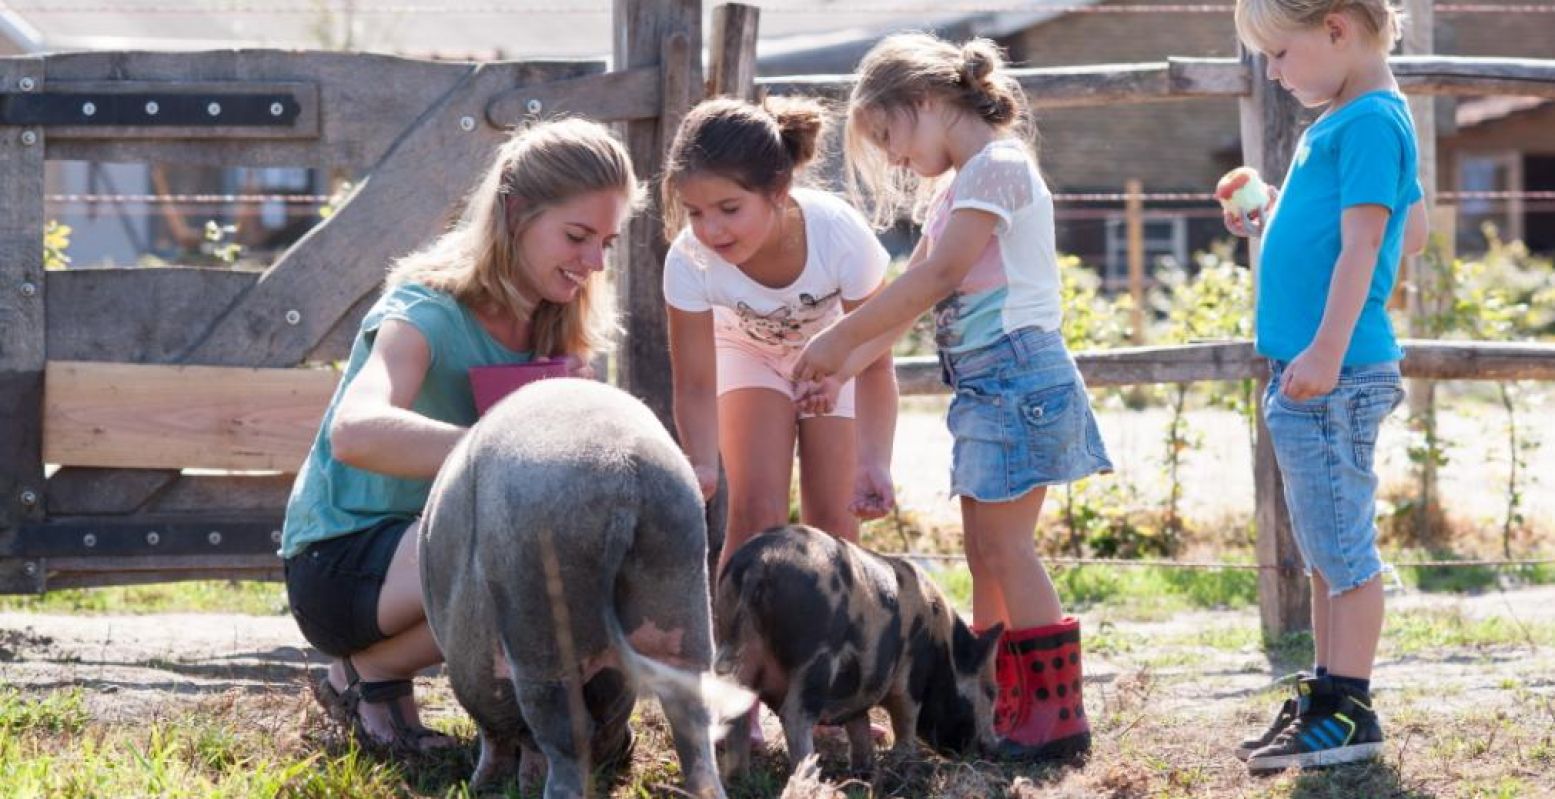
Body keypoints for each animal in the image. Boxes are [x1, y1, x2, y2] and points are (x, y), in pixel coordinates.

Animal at [416, 376, 749, 792]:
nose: (624, 749)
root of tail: (623, 474)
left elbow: (496, 732)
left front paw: (486, 783)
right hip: (679, 582)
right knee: (692, 719)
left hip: (541, 623)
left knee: (564, 736)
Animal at [712, 519, 1001, 774]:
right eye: (991, 692)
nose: (997, 748)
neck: (944, 647)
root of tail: (761, 563)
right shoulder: (911, 677)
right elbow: (905, 719)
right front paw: (907, 765)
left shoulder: (858, 691)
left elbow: (859, 726)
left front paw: (865, 772)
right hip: (815, 657)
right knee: (795, 715)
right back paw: (811, 777)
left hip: (732, 643)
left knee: (735, 710)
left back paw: (739, 778)